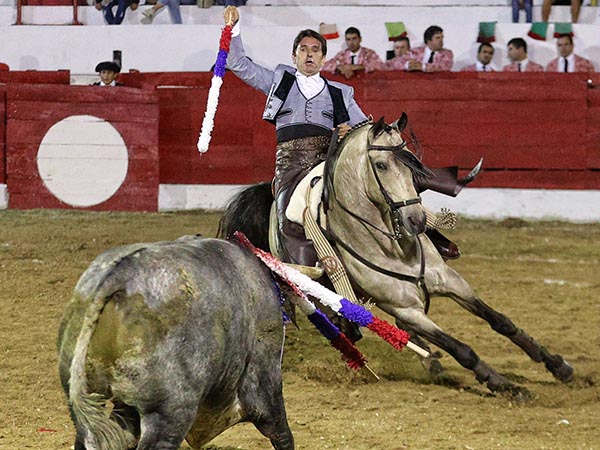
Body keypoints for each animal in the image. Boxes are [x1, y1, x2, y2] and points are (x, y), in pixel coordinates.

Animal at [219, 117, 572, 398]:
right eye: (381, 165)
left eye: (413, 164)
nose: (415, 220)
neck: (392, 246)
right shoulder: (405, 309)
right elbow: (462, 349)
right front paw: (503, 384)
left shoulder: (450, 281)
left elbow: (501, 321)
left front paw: (558, 365)